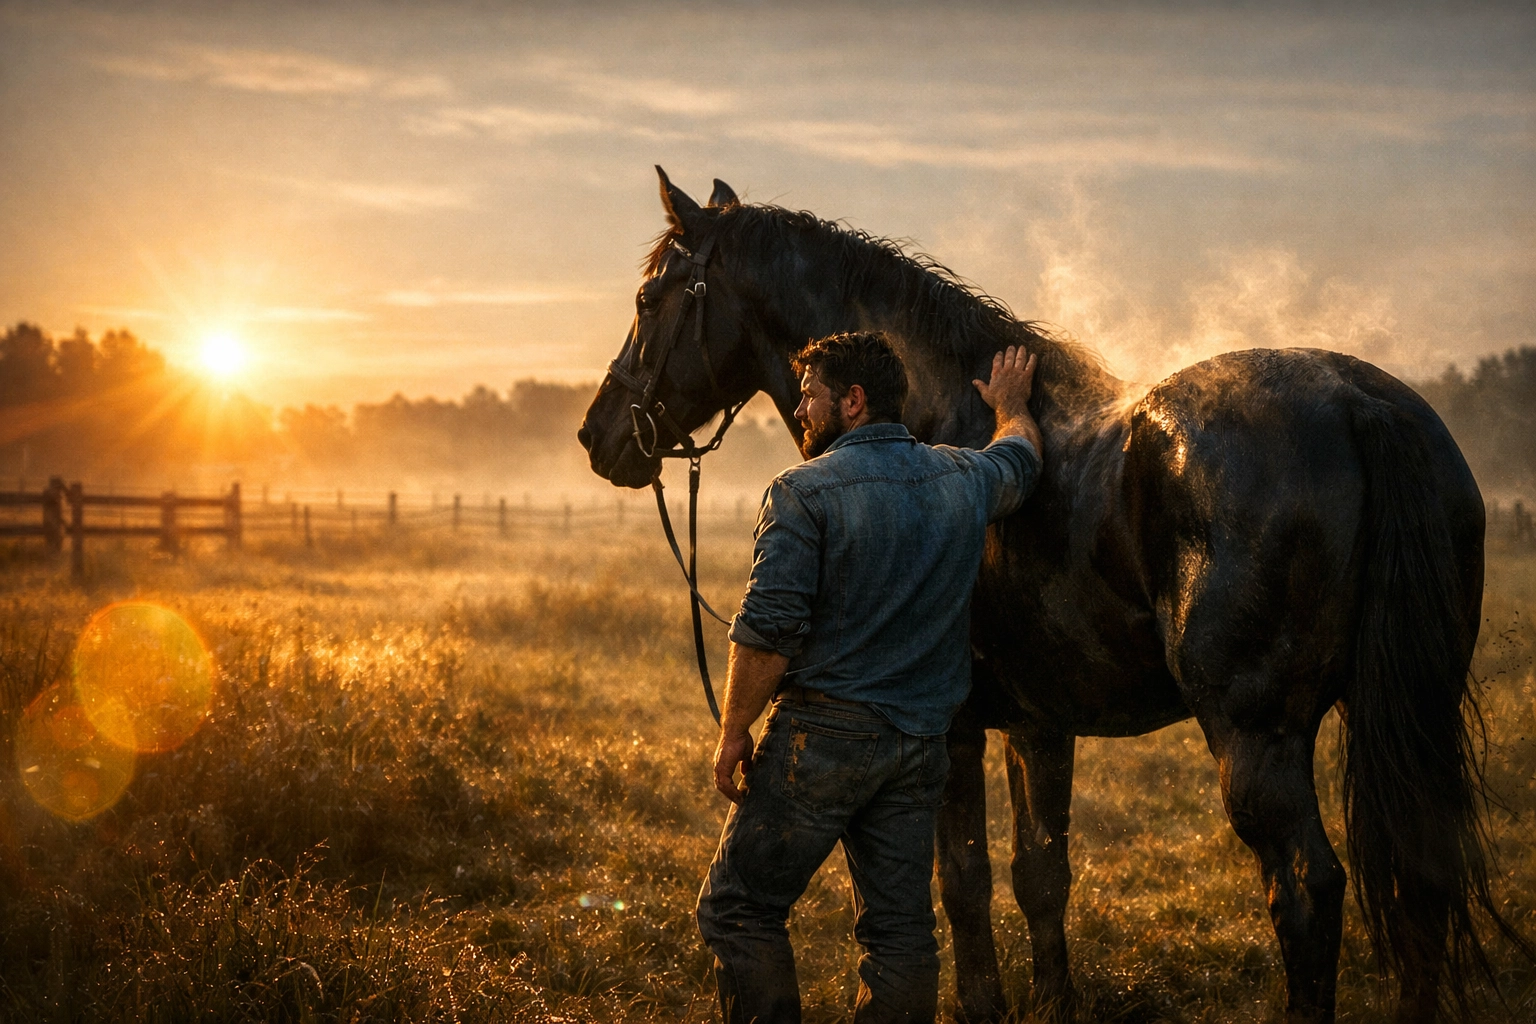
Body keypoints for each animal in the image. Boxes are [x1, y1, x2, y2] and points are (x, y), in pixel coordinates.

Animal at [577, 168, 1522, 1023]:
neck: (947, 420)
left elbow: (960, 881)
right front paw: (1053, 1000)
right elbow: (1042, 875)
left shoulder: (951, 727)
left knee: (1305, 890)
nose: (597, 436)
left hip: (1257, 736)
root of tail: (1360, 403)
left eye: (651, 297)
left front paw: (983, 1004)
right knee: (1423, 872)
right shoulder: (1040, 723)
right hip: (1406, 708)